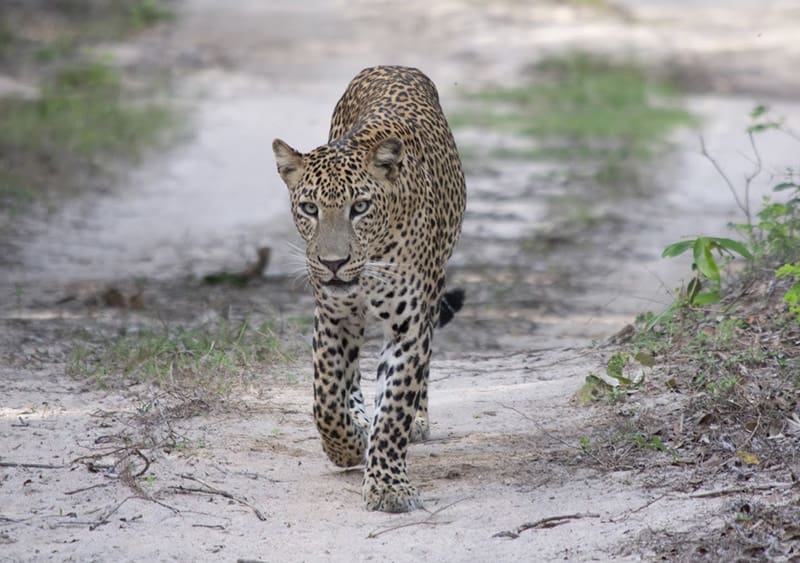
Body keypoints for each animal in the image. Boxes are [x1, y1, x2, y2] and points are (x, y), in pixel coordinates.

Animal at [272, 65, 466, 513]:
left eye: (359, 207)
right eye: (309, 208)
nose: (333, 263)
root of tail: (392, 66)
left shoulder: (409, 326)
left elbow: (395, 406)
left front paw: (388, 485)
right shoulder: (332, 316)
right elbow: (325, 395)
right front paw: (346, 446)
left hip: (434, 288)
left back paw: (417, 419)